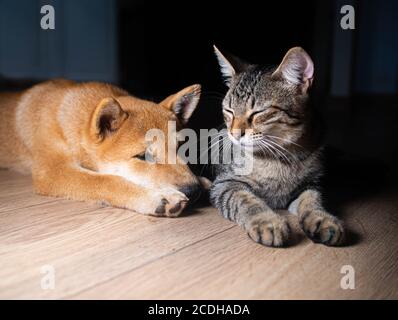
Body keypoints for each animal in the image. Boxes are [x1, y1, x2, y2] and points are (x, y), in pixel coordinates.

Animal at [0, 79, 204, 216]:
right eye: (142, 156)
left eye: (182, 147)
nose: (194, 191)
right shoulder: (52, 171)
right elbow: (107, 180)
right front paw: (156, 197)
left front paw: (203, 181)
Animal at [210, 46, 344, 248]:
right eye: (229, 111)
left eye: (258, 112)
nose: (234, 134)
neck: (281, 155)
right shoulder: (226, 183)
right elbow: (247, 201)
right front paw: (267, 222)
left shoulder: (311, 183)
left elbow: (313, 201)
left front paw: (323, 219)